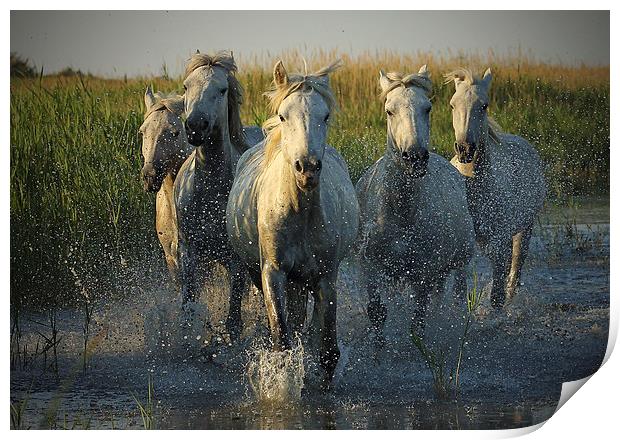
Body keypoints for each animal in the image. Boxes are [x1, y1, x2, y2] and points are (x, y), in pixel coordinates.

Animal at [173, 52, 262, 340]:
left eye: (222, 90)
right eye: (186, 86)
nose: (195, 126)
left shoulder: (236, 260)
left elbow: (233, 318)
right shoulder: (189, 253)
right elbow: (188, 306)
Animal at [226, 59, 358, 388]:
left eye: (325, 115)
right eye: (283, 115)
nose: (306, 169)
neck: (299, 211)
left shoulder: (326, 276)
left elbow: (328, 348)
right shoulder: (272, 273)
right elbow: (282, 339)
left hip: (304, 280)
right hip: (263, 274)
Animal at [354, 65, 474, 342]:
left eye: (427, 108)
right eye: (389, 110)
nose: (415, 158)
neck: (401, 210)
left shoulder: (423, 273)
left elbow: (418, 321)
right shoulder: (371, 267)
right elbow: (377, 312)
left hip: (459, 260)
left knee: (456, 292)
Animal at [444, 69, 544, 308]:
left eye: (484, 105)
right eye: (452, 105)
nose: (465, 149)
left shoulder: (500, 240)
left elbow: (497, 296)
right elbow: (459, 293)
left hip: (524, 230)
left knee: (514, 270)